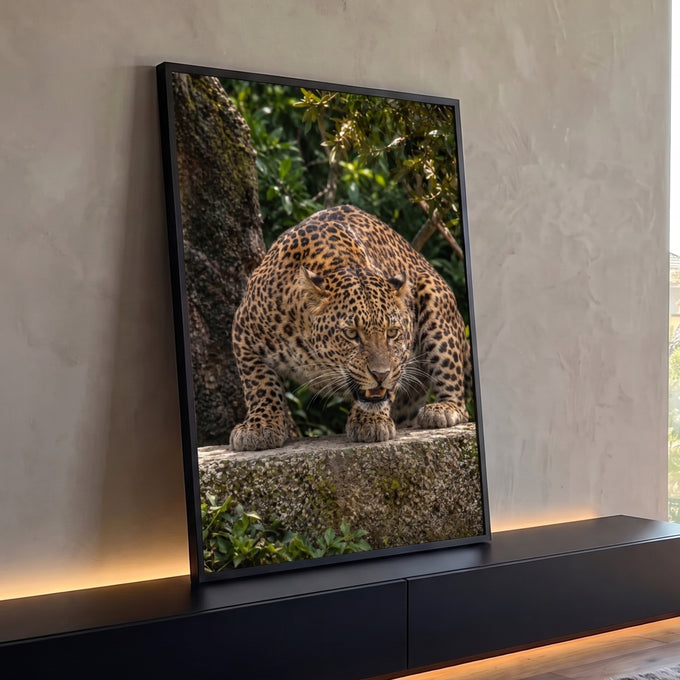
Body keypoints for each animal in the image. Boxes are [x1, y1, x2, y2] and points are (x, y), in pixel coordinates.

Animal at [229, 204, 472, 452]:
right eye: (351, 334)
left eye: (392, 333)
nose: (381, 375)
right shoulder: (243, 333)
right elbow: (260, 384)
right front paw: (260, 425)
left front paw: (369, 420)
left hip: (434, 300)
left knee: (457, 395)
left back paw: (443, 409)